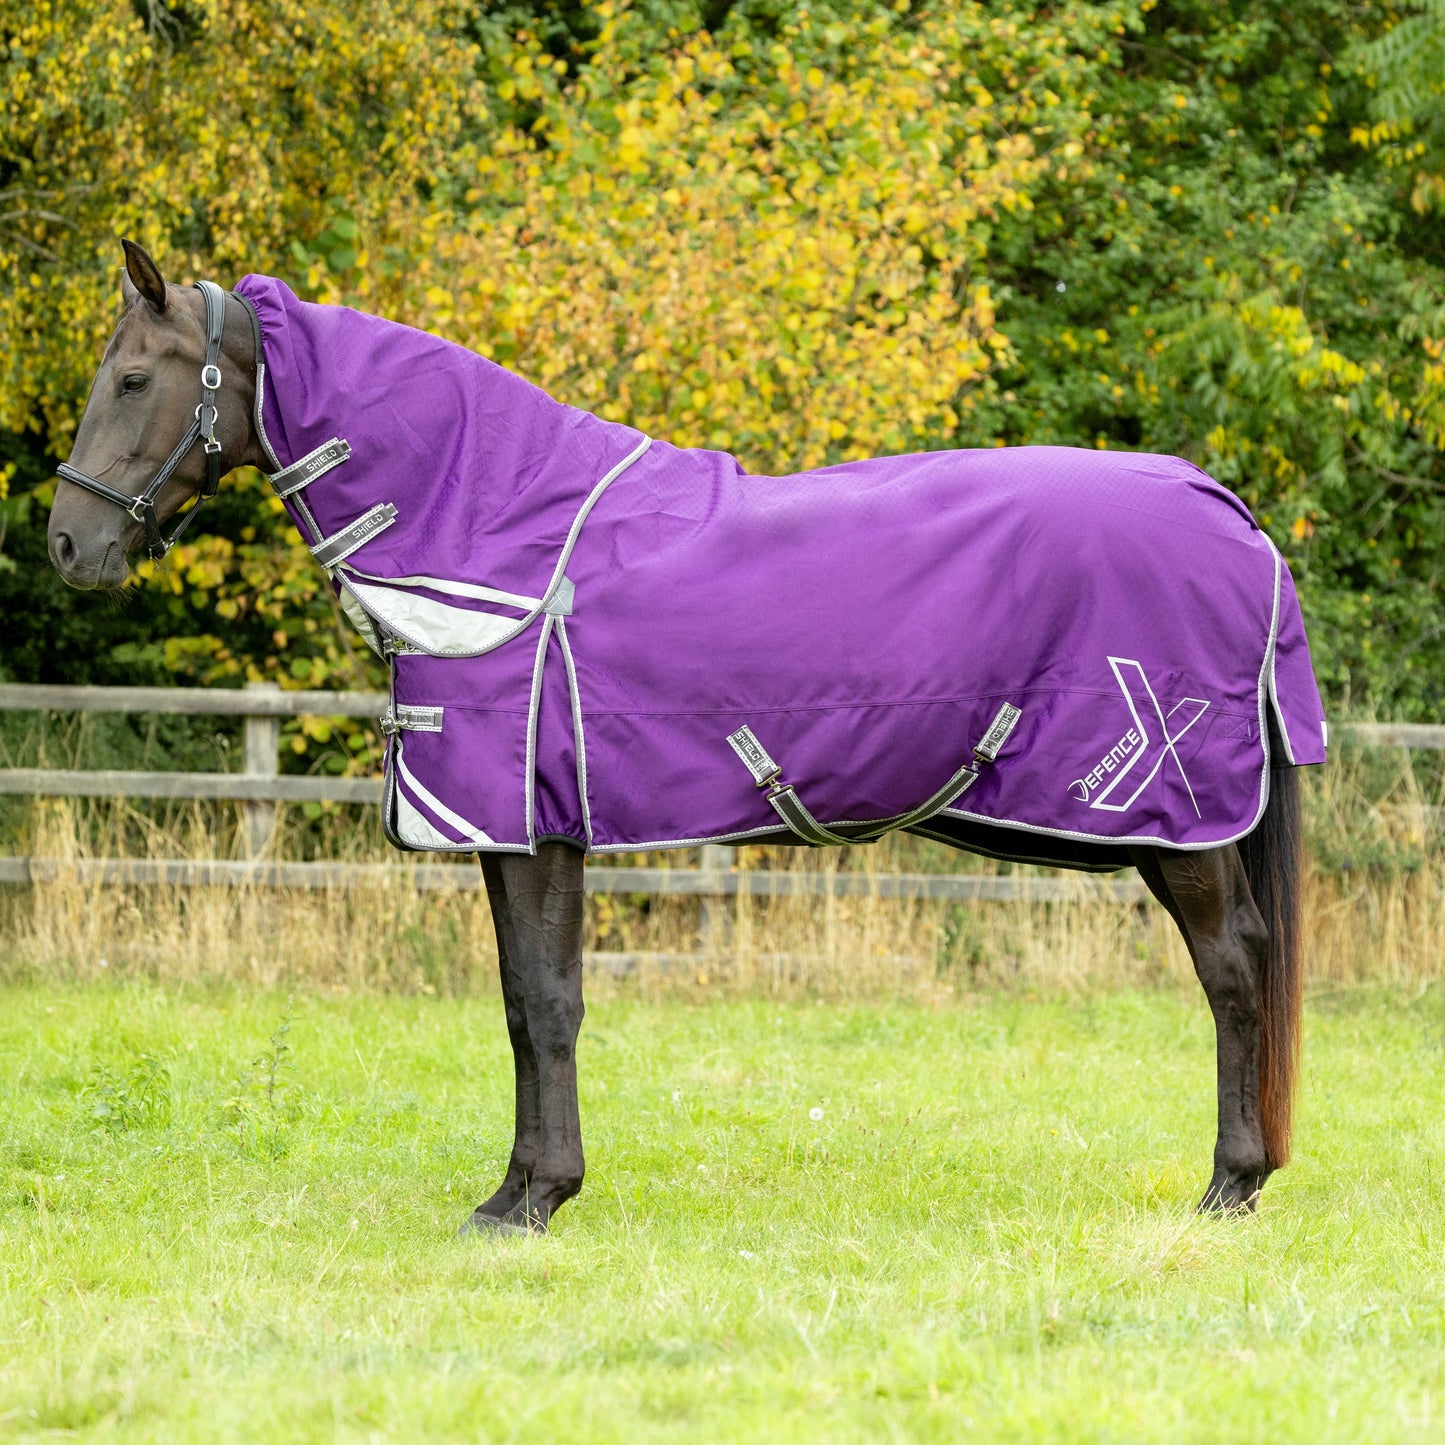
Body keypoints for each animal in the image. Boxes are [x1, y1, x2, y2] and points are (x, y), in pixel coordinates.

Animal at [48, 240, 1323, 1232]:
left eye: (132, 377)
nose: (69, 544)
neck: (489, 527)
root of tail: (1228, 510)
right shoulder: (515, 827)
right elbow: (519, 1003)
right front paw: (514, 1189)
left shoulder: (531, 827)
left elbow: (548, 1001)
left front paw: (536, 1198)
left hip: (1173, 817)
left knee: (1231, 966)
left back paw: (1228, 1185)